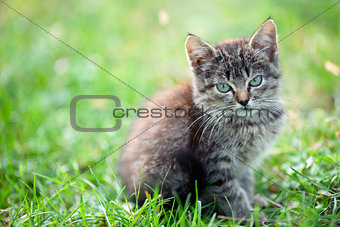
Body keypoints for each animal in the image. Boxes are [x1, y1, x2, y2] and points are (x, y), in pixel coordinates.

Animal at [119, 19, 284, 218]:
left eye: (255, 81)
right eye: (223, 87)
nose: (244, 101)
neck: (249, 123)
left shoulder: (244, 163)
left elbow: (246, 182)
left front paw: (253, 202)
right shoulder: (214, 164)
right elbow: (231, 193)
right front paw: (247, 216)